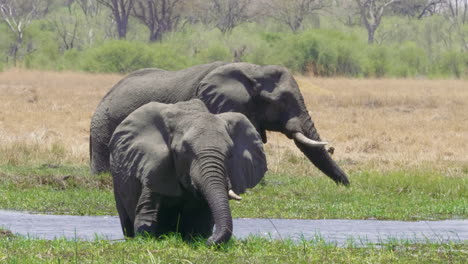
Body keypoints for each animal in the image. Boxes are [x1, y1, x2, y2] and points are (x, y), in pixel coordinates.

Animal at [107, 99, 266, 245]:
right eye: (184, 151)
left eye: (230, 154)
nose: (210, 240)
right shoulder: (155, 166)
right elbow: (147, 212)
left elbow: (200, 220)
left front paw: (198, 239)